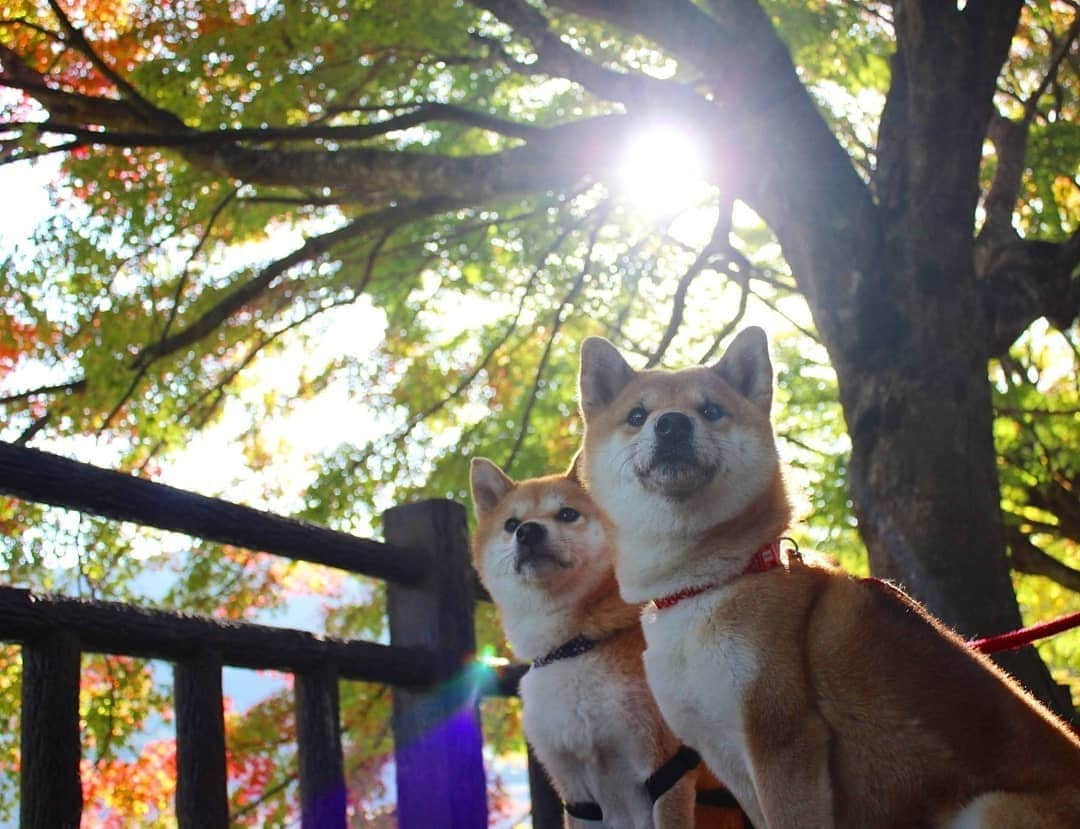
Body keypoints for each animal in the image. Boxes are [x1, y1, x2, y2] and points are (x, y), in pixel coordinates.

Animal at [468, 459, 747, 829]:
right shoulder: (577, 795)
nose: (527, 531)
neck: (574, 647)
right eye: (511, 523)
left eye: (567, 514)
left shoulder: (666, 773)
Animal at [578, 328, 1080, 829]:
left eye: (711, 410)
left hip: (989, 809)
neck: (710, 584)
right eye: (637, 415)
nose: (672, 424)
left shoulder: (783, 741)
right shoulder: (725, 758)